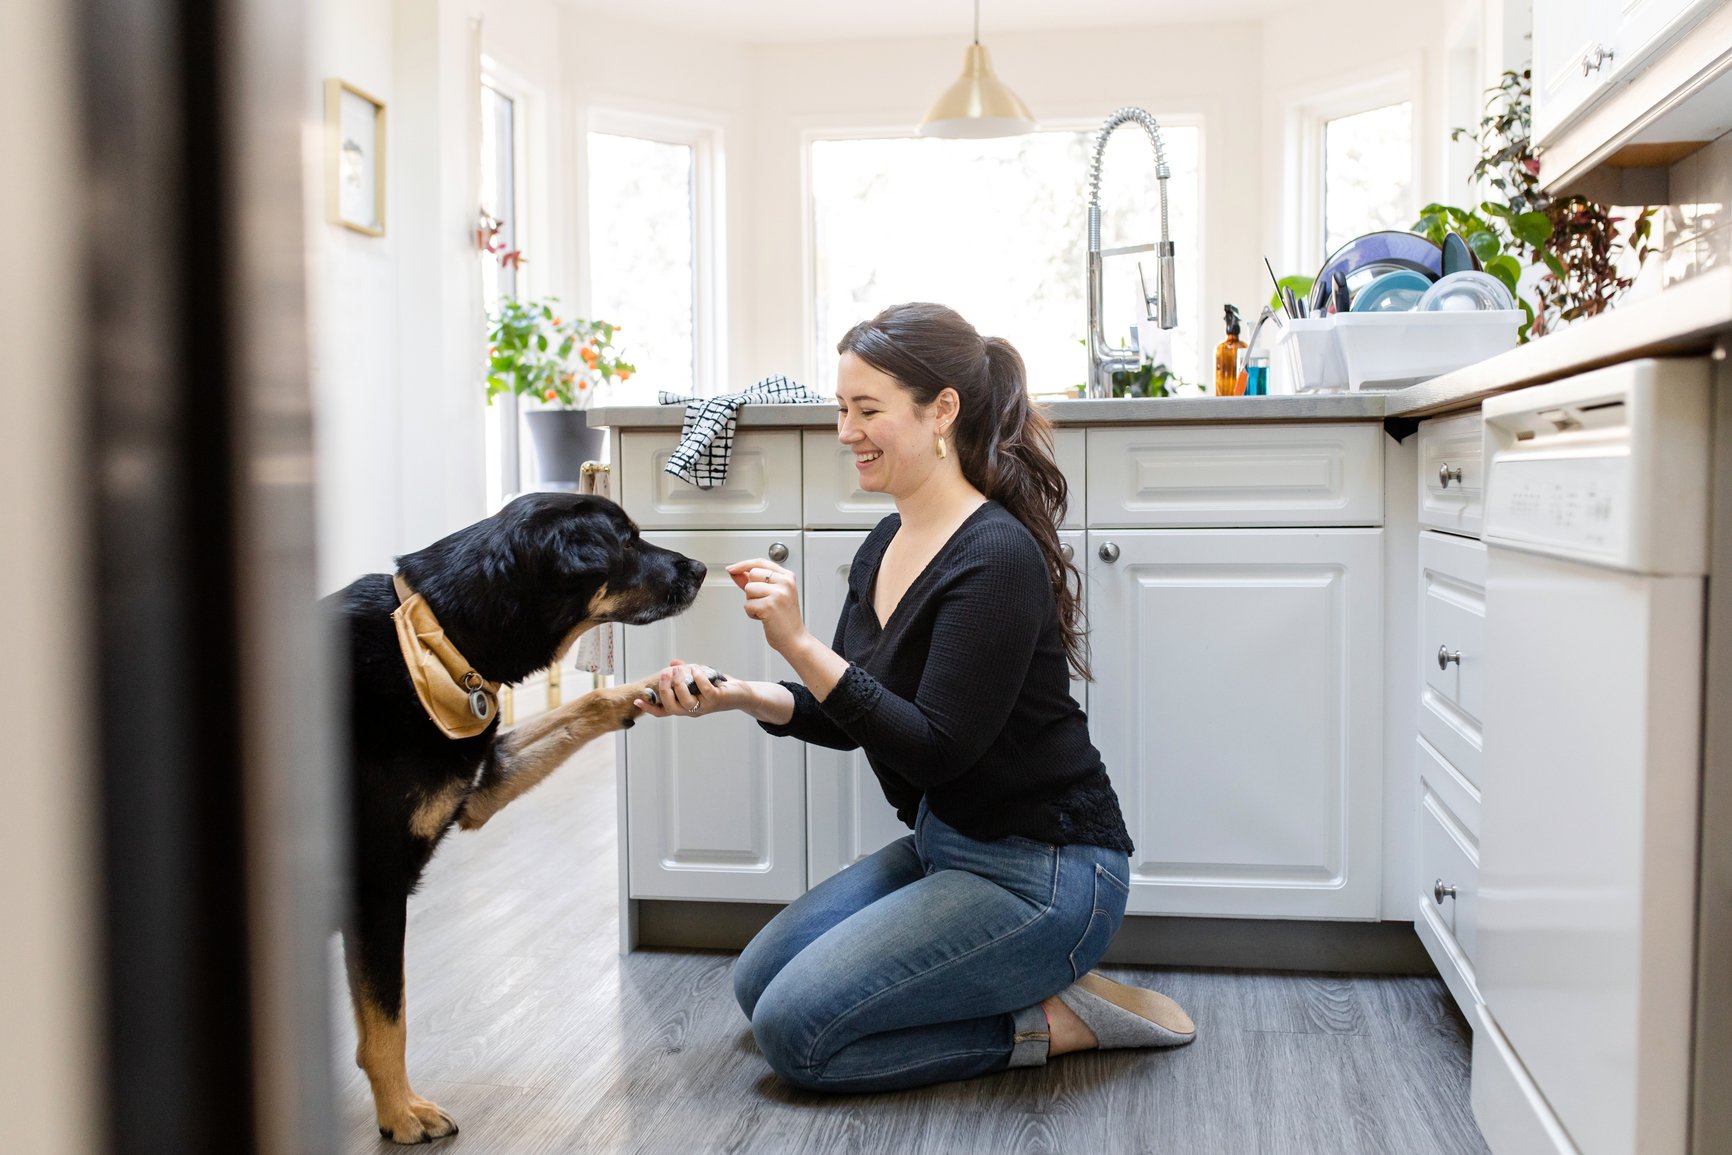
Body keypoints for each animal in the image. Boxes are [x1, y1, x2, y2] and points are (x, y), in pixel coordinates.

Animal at [325, 491, 703, 1149]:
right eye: (627, 541)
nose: (705, 568)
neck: (439, 639)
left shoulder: (480, 787)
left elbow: (588, 703)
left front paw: (656, 689)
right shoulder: (375, 885)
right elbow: (388, 1021)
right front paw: (401, 1113)